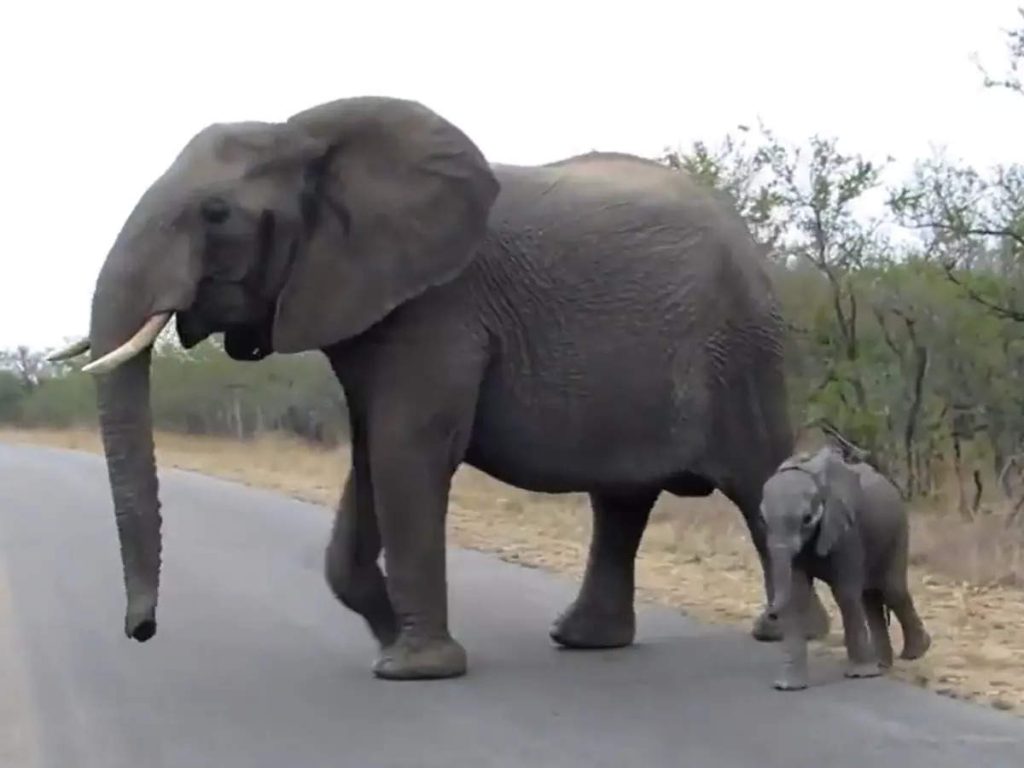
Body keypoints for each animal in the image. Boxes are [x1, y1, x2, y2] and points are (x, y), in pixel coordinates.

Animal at [51, 94, 827, 679]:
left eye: (216, 214)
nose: (143, 631)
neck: (310, 138)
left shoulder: (441, 307)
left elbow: (407, 450)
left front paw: (414, 666)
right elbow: (371, 452)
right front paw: (389, 633)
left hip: (740, 350)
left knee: (757, 479)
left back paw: (791, 633)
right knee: (622, 502)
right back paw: (586, 640)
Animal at [761, 444, 929, 692]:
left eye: (807, 519)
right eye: (763, 520)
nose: (770, 615)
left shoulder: (848, 531)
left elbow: (845, 593)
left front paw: (860, 675)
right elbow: (796, 594)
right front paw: (788, 686)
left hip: (898, 530)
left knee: (892, 590)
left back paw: (915, 653)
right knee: (871, 598)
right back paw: (881, 665)